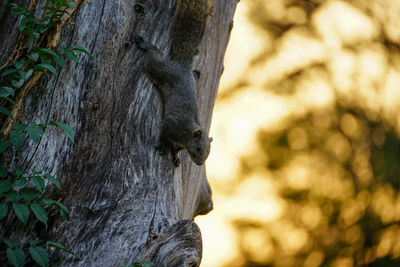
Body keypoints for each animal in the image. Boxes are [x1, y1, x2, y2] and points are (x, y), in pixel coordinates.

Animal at [134, 0, 212, 168]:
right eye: (198, 147)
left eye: (208, 152)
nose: (200, 163)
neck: (186, 136)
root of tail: (182, 65)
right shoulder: (172, 125)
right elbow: (164, 133)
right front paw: (164, 147)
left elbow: (176, 150)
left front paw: (175, 156)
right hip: (160, 70)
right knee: (153, 58)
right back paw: (147, 45)